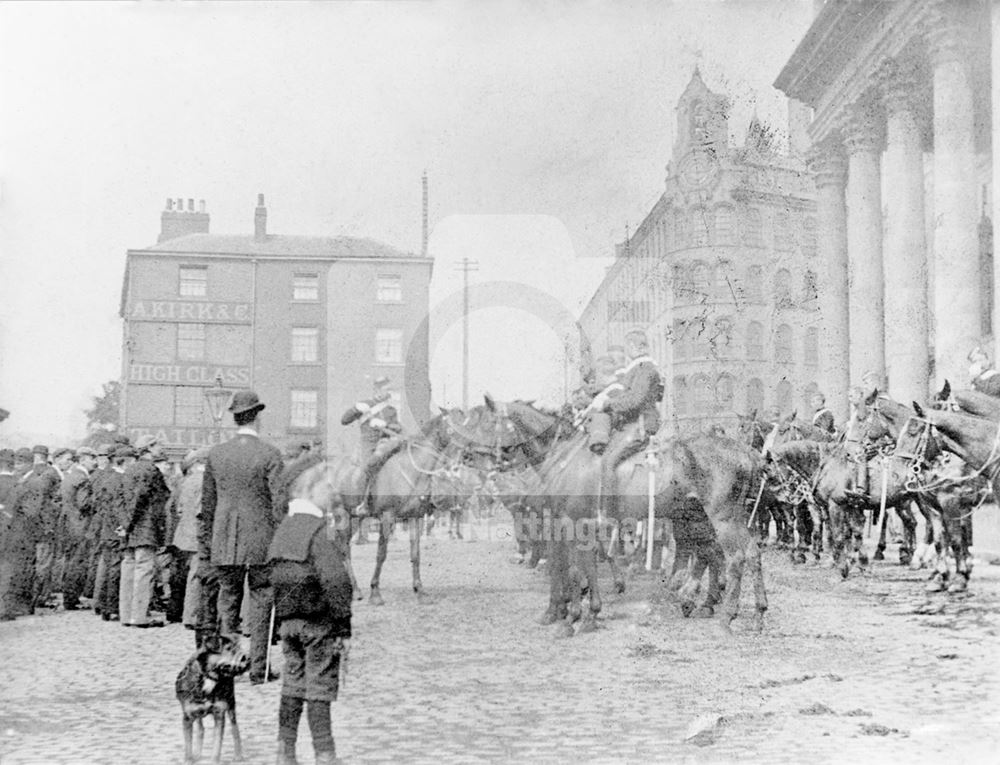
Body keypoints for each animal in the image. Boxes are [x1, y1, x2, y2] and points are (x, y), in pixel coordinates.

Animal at [174, 632, 250, 764]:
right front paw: (189, 759)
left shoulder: (219, 713)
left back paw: (238, 754)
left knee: (235, 728)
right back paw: (197, 753)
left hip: (231, 704)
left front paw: (215, 760)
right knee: (200, 728)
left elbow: (217, 742)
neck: (209, 678)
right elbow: (188, 743)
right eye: (228, 649)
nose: (248, 659)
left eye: (239, 647)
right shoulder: (188, 717)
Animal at [486, 396, 764, 636]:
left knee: (732, 557)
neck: (566, 460)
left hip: (721, 518)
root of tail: (745, 452)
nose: (490, 470)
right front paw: (573, 613)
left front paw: (573, 616)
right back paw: (750, 611)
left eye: (487, 423)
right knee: (742, 553)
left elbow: (574, 569)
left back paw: (723, 615)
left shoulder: (572, 523)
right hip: (709, 517)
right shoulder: (571, 525)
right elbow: (575, 566)